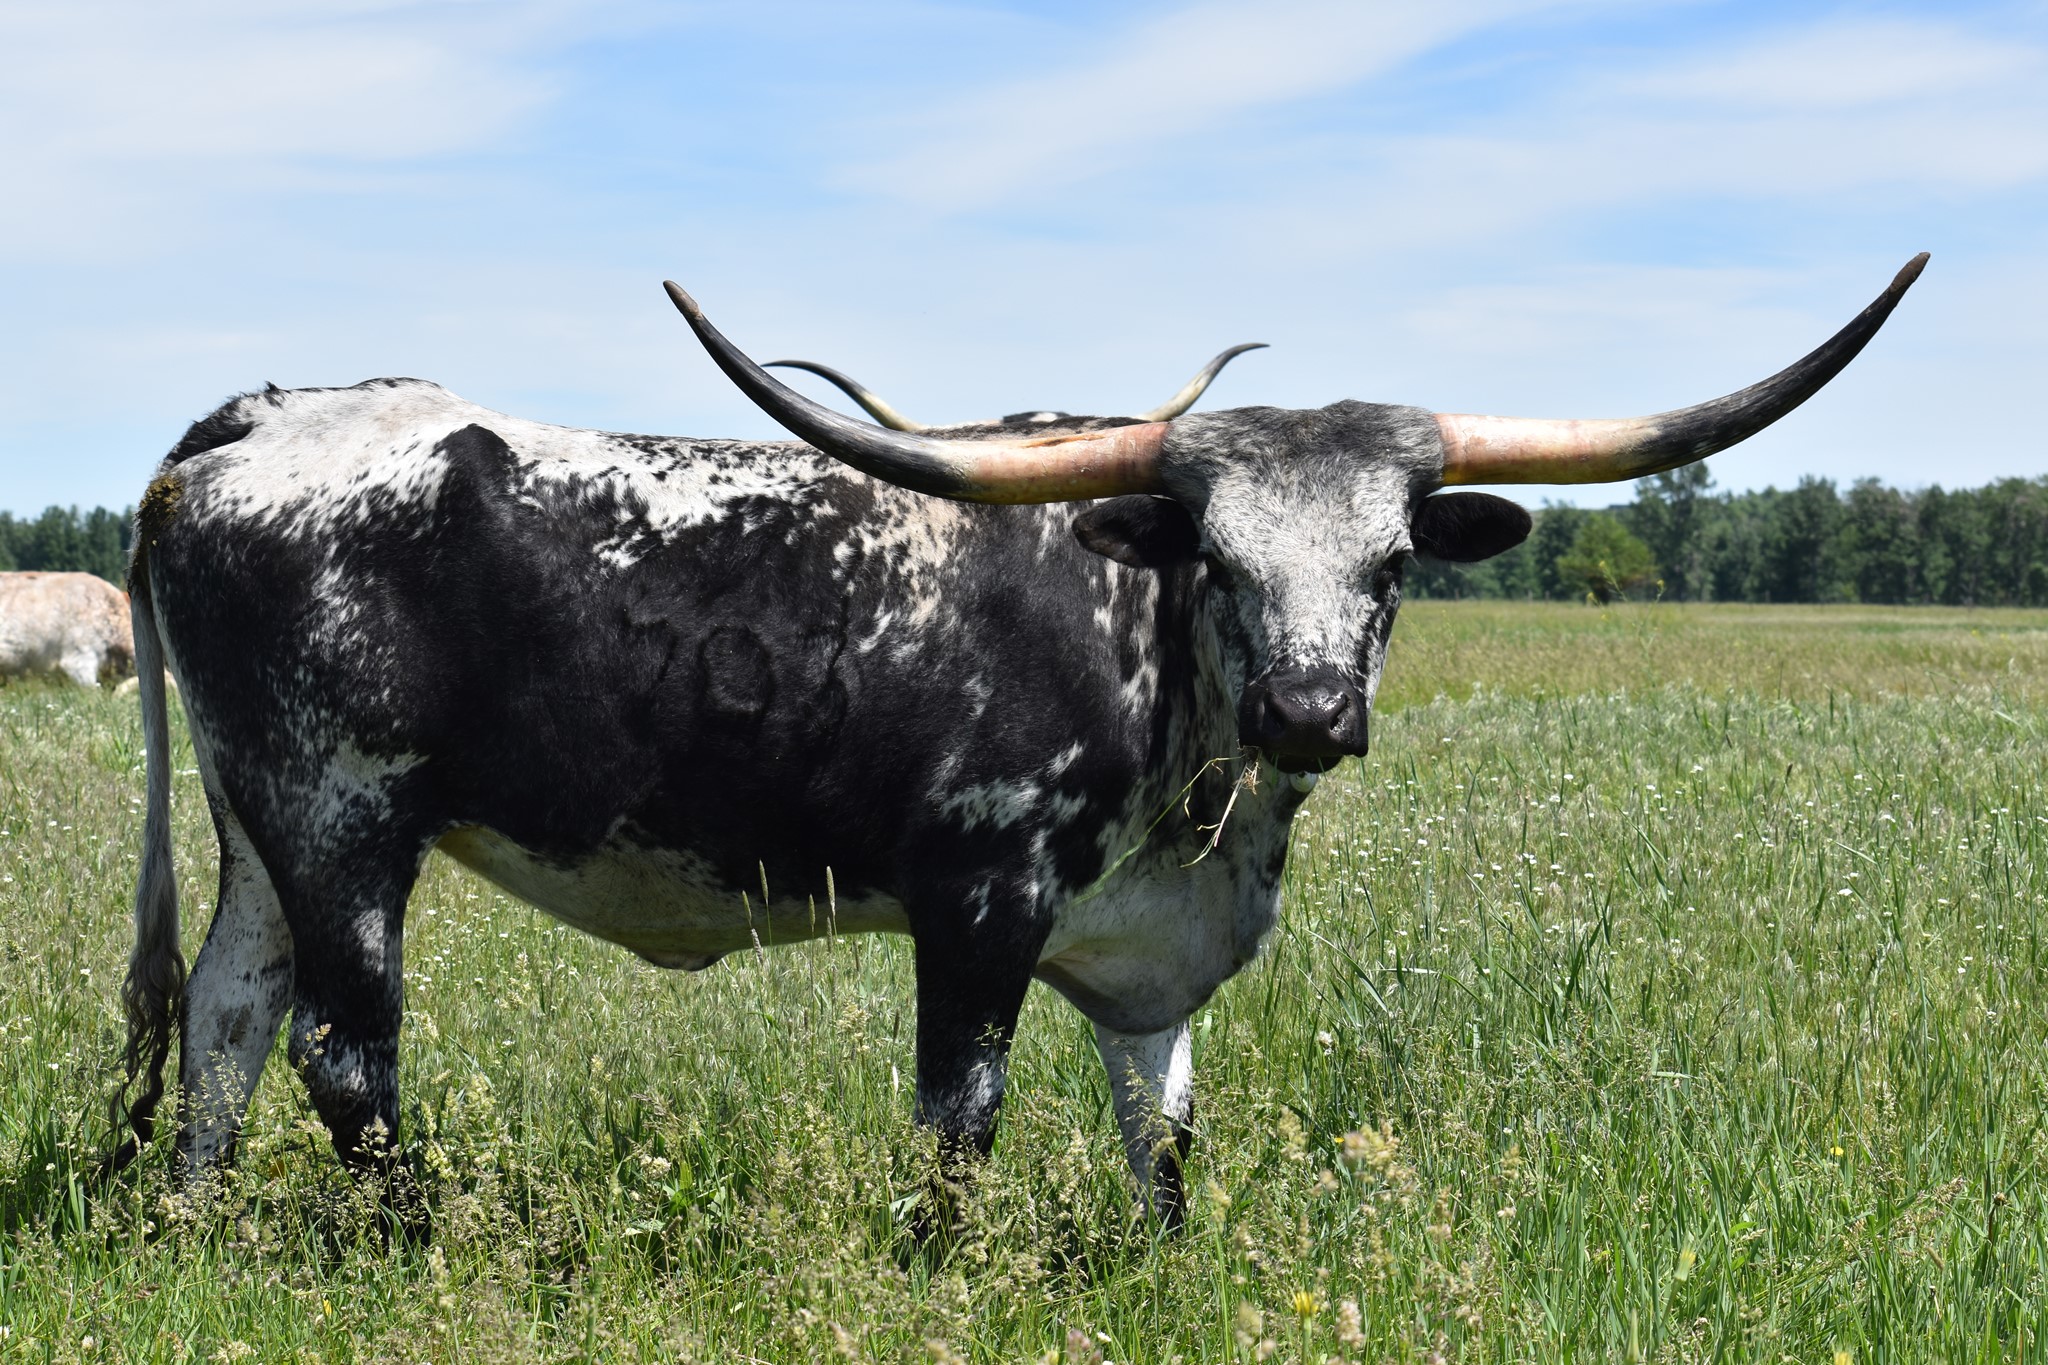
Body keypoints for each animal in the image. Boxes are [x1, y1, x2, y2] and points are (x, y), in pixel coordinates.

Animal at [116, 255, 1926, 1226]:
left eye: (1393, 560)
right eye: (1214, 555)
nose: (1309, 710)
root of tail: (256, 421)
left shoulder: (1150, 957)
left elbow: (1162, 1131)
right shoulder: (975, 896)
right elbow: (959, 1118)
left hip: (261, 819)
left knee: (223, 1017)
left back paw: (200, 1225)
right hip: (349, 813)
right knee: (345, 1051)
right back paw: (405, 1240)